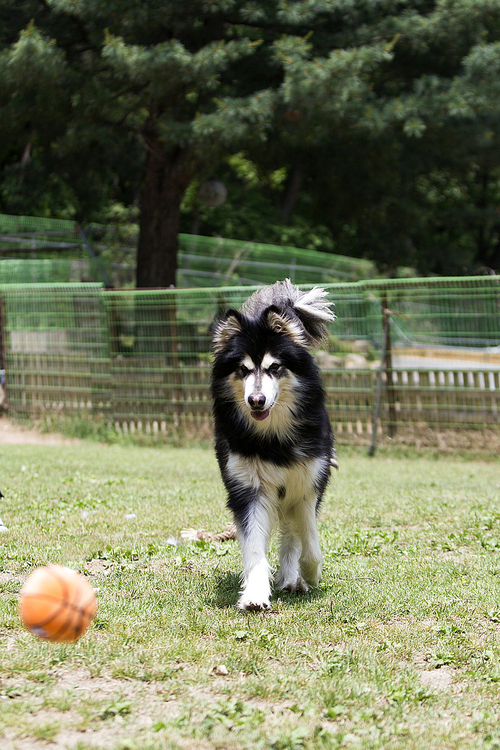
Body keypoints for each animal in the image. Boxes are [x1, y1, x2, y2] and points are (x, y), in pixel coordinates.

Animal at [211, 280, 336, 612]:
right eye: (242, 369)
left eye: (275, 367)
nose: (256, 400)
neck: (273, 438)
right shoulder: (249, 489)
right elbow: (254, 547)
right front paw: (255, 592)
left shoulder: (308, 483)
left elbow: (310, 540)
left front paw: (310, 571)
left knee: (292, 532)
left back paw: (293, 577)